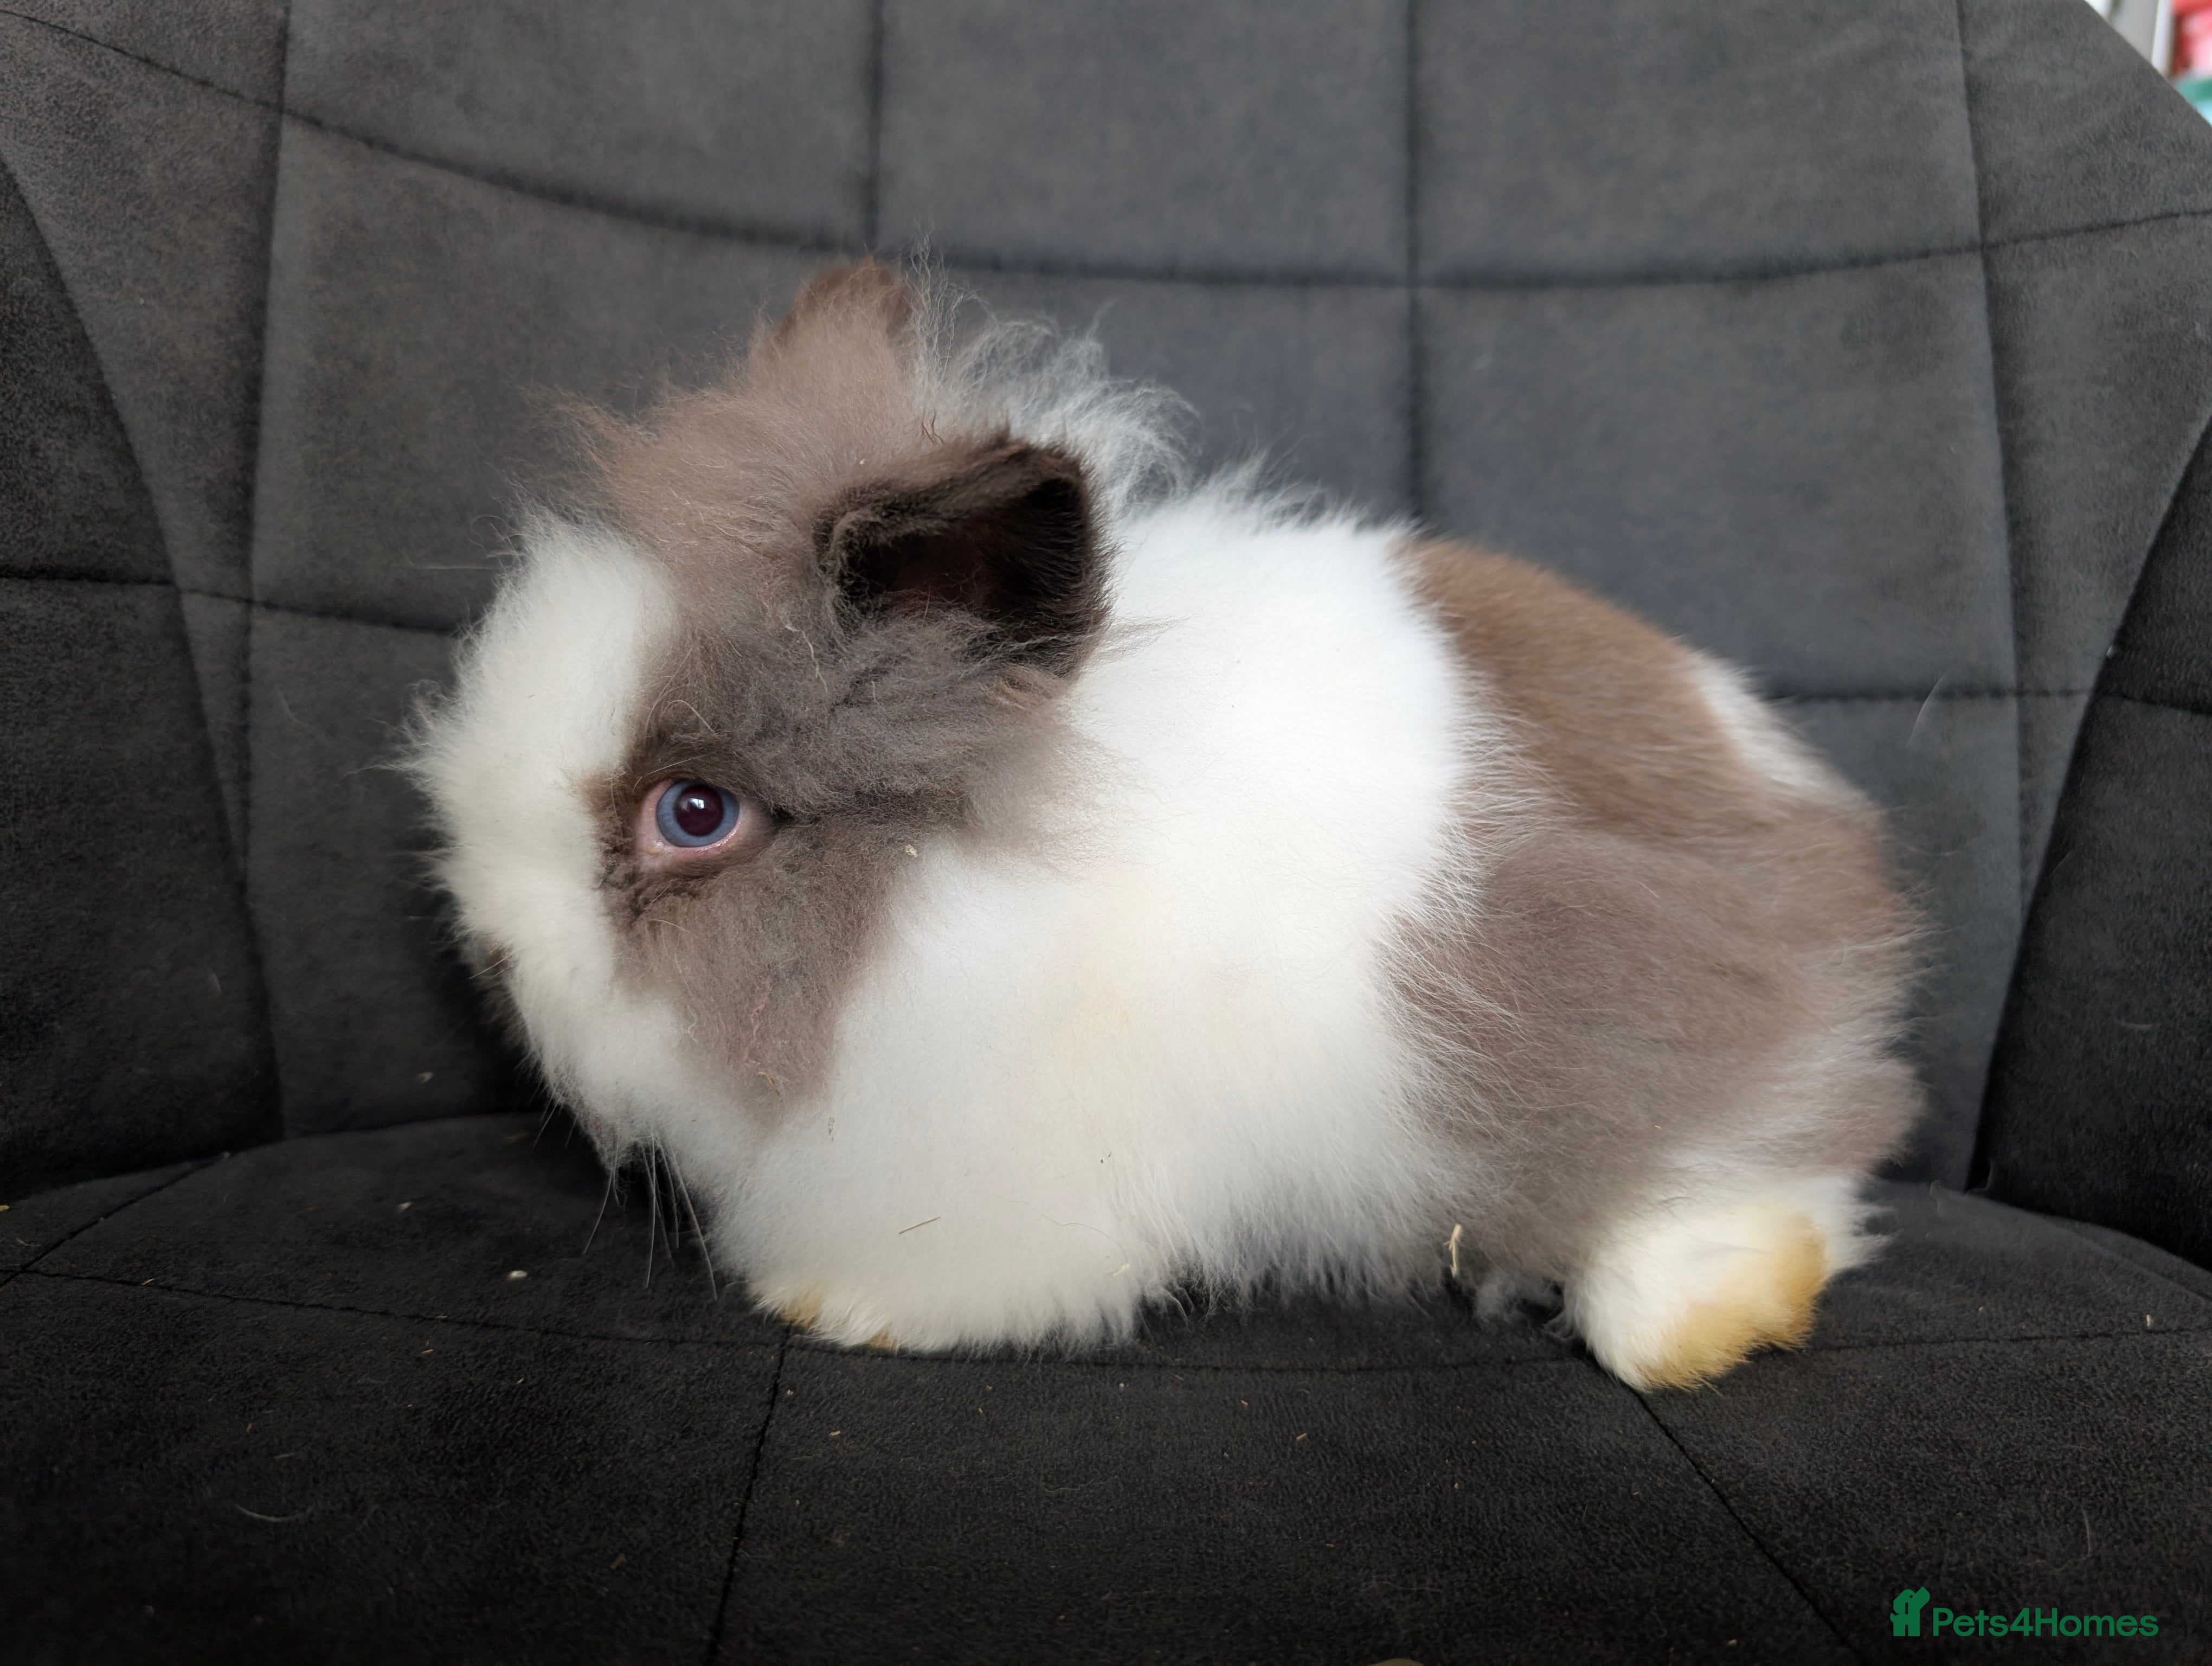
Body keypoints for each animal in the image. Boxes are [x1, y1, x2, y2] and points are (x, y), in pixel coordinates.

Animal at [409, 261, 1921, 1390]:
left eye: (695, 813)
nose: (490, 953)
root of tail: (1823, 831)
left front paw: (836, 1309)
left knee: (1780, 1175)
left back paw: (1690, 1324)